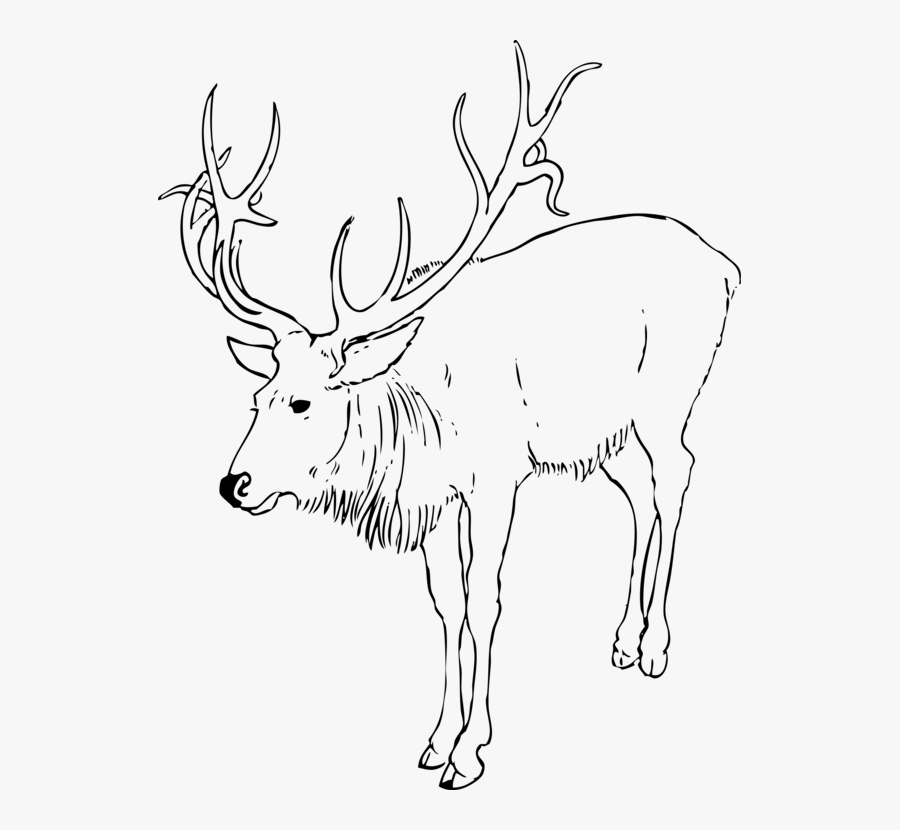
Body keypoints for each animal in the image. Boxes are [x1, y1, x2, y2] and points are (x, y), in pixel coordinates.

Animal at [160, 43, 740, 790]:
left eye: (303, 401)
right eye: (257, 397)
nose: (235, 484)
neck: (418, 415)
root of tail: (724, 267)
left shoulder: (497, 479)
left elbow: (487, 598)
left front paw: (471, 751)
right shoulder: (437, 498)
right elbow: (447, 603)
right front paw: (436, 739)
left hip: (669, 397)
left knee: (677, 475)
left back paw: (657, 647)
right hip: (607, 430)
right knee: (640, 495)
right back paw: (621, 638)